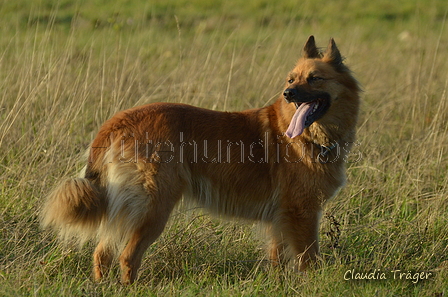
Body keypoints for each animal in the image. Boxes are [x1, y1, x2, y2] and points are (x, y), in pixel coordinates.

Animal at [41, 35, 360, 284]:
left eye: (315, 78)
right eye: (291, 80)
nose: (288, 93)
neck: (309, 136)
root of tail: (120, 120)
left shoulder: (282, 218)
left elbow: (278, 259)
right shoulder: (302, 213)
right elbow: (309, 258)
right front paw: (314, 283)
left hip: (128, 208)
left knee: (102, 252)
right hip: (154, 208)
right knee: (127, 256)